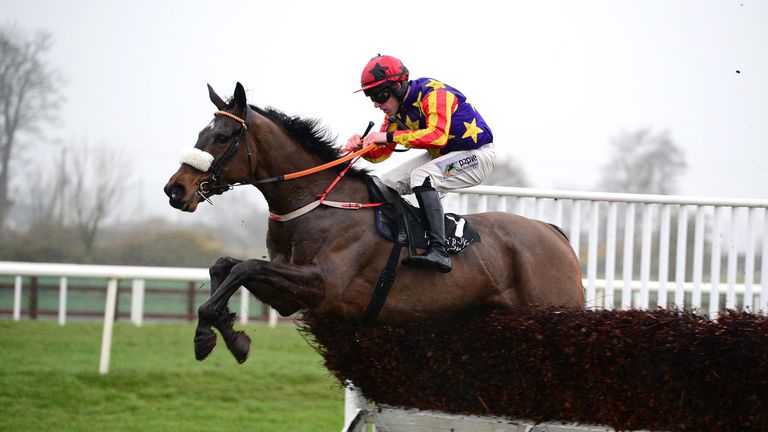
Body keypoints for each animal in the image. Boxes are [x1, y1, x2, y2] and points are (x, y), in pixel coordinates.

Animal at [162, 82, 584, 362]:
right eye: (202, 133)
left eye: (223, 136)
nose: (175, 189)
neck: (316, 200)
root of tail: (554, 233)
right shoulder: (288, 293)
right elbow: (226, 266)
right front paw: (225, 334)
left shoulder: (322, 285)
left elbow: (244, 267)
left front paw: (210, 334)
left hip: (555, 306)